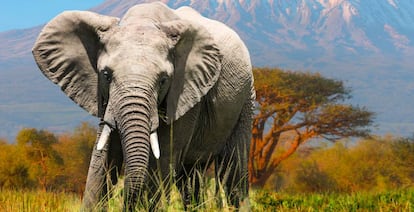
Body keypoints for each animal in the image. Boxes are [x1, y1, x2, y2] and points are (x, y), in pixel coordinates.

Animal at [32, 1, 254, 210]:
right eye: (106, 75)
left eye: (163, 80)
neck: (144, 20)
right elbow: (102, 158)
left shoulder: (185, 96)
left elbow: (162, 159)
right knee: (190, 176)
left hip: (246, 98)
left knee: (233, 169)